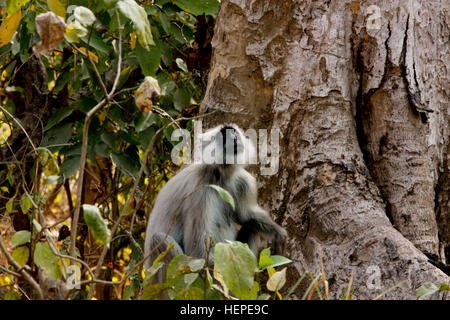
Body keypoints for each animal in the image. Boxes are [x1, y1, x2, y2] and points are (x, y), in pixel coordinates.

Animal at [144, 124, 284, 282]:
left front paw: (278, 233)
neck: (219, 176)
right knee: (159, 239)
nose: (233, 138)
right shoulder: (199, 192)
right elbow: (197, 252)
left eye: (233, 132)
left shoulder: (243, 182)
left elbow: (247, 216)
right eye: (223, 137)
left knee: (251, 226)